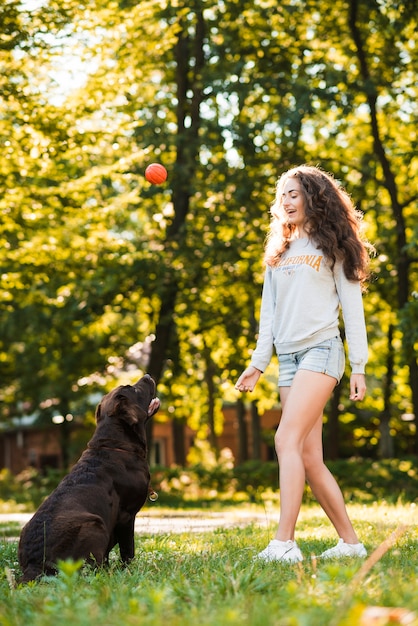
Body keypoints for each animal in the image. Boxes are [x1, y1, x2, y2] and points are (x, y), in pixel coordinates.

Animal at [17, 370, 160, 580]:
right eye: (132, 388)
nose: (148, 375)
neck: (115, 444)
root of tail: (35, 564)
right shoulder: (127, 515)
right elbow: (128, 550)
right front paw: (129, 571)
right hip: (94, 524)